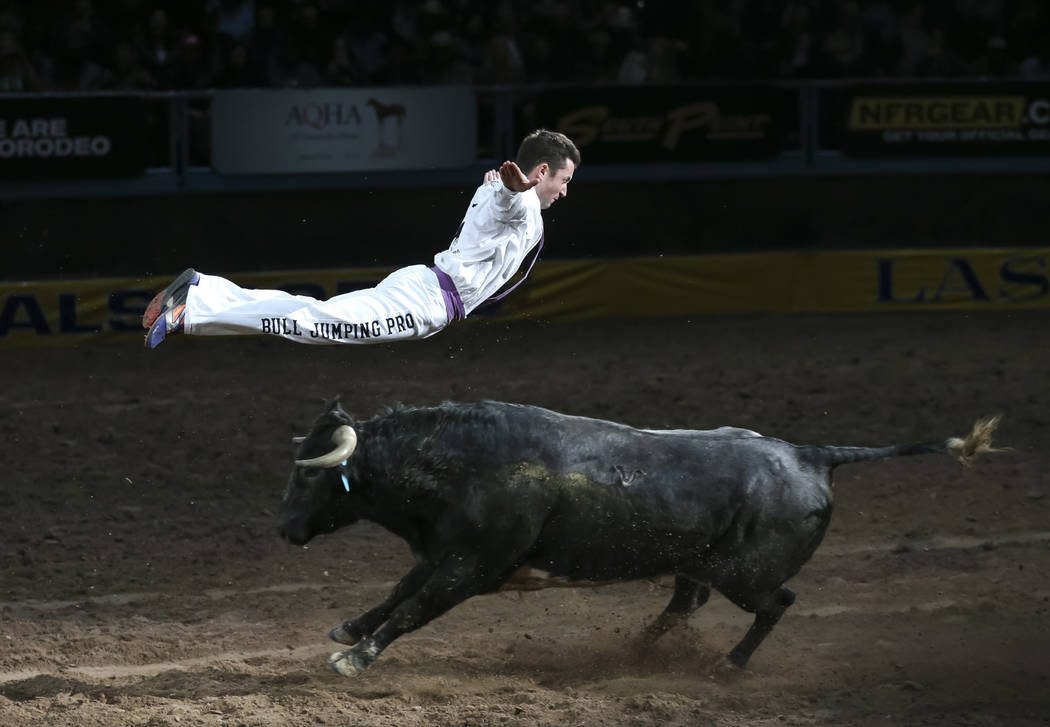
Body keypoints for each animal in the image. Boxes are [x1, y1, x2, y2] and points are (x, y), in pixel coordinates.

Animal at [275, 397, 995, 676]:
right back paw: (637, 650)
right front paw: (348, 630)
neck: (461, 461)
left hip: (745, 574)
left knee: (775, 604)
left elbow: (414, 607)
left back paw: (728, 665)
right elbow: (397, 593)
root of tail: (811, 454)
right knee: (684, 602)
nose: (283, 527)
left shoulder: (473, 565)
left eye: (311, 478)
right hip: (698, 562)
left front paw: (355, 658)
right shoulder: (446, 551)